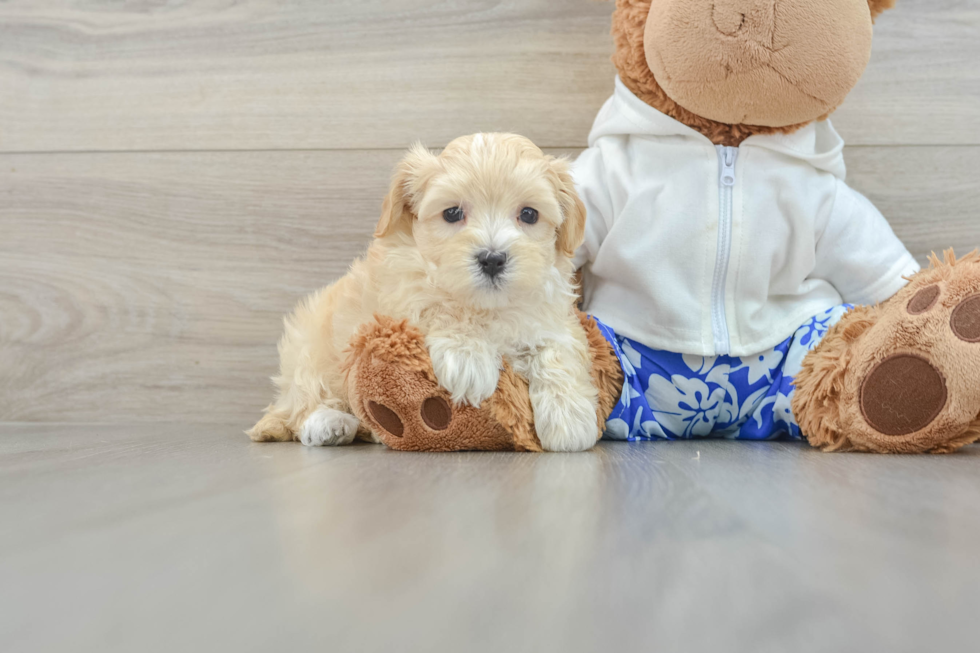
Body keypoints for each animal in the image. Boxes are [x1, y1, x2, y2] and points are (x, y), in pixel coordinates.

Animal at [247, 132, 596, 448]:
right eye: (452, 213)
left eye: (529, 214)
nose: (492, 259)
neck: (487, 305)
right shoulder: (399, 289)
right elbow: (438, 302)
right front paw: (468, 356)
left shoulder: (550, 314)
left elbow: (558, 348)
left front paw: (570, 416)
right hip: (309, 346)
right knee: (303, 400)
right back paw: (328, 423)